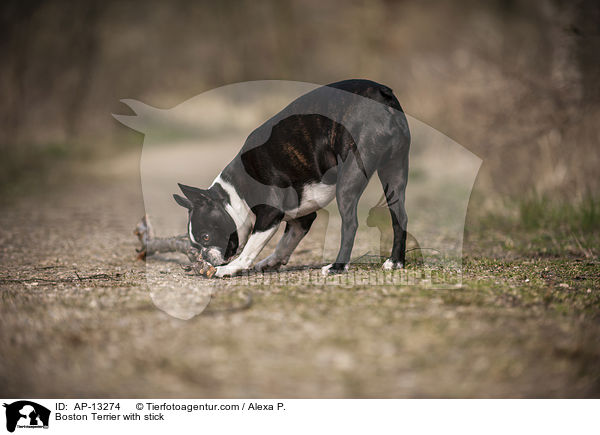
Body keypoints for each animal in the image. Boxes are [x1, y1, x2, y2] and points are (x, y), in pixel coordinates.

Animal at [171, 79, 410, 278]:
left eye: (205, 237)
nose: (203, 257)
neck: (236, 191)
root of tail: (381, 93)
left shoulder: (270, 213)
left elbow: (250, 248)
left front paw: (231, 268)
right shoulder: (301, 219)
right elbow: (285, 242)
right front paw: (271, 262)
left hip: (349, 179)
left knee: (350, 224)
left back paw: (337, 267)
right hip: (394, 172)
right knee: (399, 217)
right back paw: (395, 261)